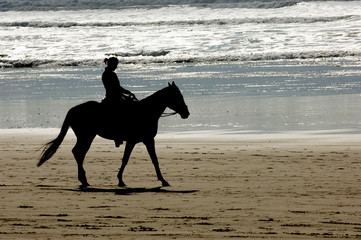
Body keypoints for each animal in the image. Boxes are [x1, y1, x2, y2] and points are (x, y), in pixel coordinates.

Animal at [37, 81, 190, 188]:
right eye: (178, 96)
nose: (186, 113)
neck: (146, 111)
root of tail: (73, 109)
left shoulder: (147, 140)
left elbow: (154, 160)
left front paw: (163, 180)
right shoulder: (135, 140)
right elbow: (126, 159)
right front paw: (120, 180)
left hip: (87, 136)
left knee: (78, 153)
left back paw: (83, 179)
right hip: (87, 136)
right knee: (78, 152)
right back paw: (84, 180)